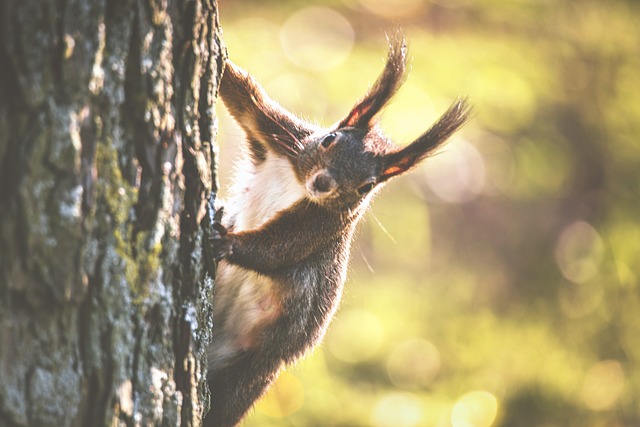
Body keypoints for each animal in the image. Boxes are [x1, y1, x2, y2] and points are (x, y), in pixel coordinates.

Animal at [205, 34, 470, 427]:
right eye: (329, 139)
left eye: (367, 185)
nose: (323, 183)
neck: (298, 182)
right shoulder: (283, 136)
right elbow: (246, 97)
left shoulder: (323, 225)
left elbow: (277, 248)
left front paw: (225, 242)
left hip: (248, 369)